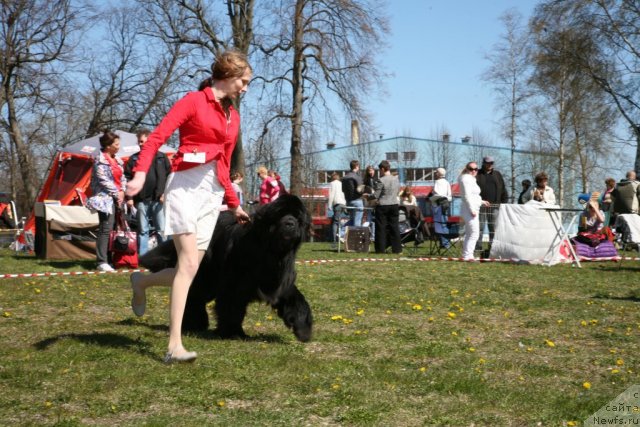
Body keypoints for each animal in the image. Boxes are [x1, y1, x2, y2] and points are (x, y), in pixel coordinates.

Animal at [139, 196, 312, 342]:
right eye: (280, 216)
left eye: (297, 218)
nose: (290, 223)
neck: (270, 253)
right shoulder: (234, 284)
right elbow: (231, 306)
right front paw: (233, 332)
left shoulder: (280, 283)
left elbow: (298, 301)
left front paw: (303, 329)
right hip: (204, 274)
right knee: (193, 295)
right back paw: (195, 323)